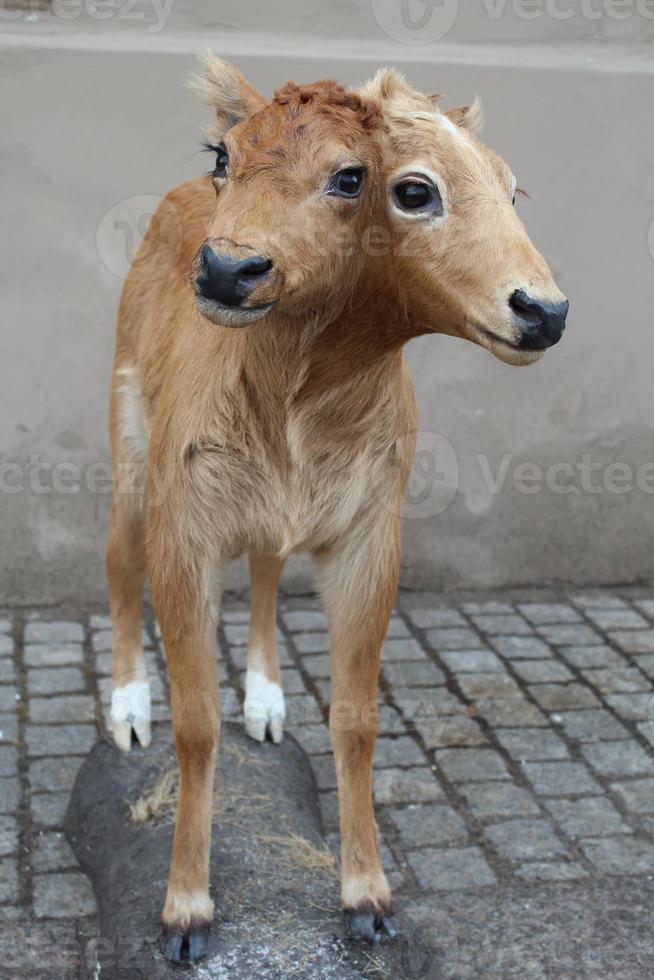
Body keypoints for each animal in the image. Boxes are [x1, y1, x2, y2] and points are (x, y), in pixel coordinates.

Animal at [107, 59, 568, 964]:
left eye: (352, 177)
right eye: (412, 189)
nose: (543, 310)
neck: (295, 405)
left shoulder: (372, 534)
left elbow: (356, 718)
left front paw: (367, 899)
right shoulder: (186, 528)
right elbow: (194, 723)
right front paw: (185, 912)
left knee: (267, 563)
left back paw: (266, 699)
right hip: (128, 440)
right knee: (116, 554)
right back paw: (127, 709)